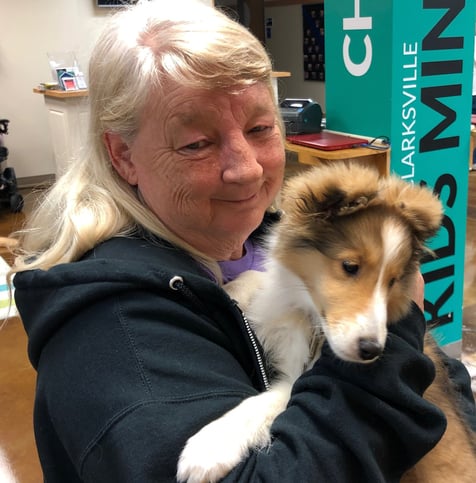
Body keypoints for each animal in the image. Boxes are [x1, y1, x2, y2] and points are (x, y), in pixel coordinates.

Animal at [176, 161, 476, 482]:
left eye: (393, 281)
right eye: (350, 266)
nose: (371, 350)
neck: (311, 318)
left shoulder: (298, 379)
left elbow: (265, 401)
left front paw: (210, 447)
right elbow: (256, 278)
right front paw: (231, 290)